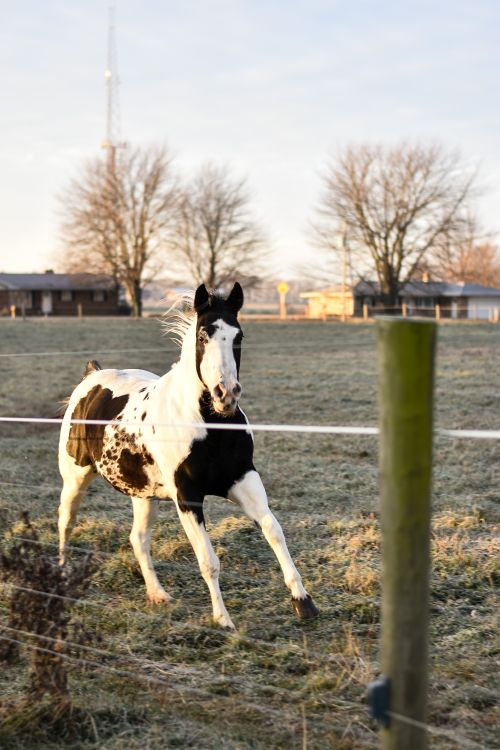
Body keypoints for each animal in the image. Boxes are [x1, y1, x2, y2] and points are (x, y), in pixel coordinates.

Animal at [58, 282, 319, 629]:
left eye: (239, 336)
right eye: (203, 336)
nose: (227, 394)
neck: (209, 427)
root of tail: (91, 378)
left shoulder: (243, 479)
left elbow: (274, 531)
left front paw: (303, 602)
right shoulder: (188, 497)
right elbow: (208, 560)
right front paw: (223, 620)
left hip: (144, 495)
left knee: (138, 539)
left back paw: (158, 594)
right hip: (75, 477)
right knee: (66, 521)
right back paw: (61, 578)